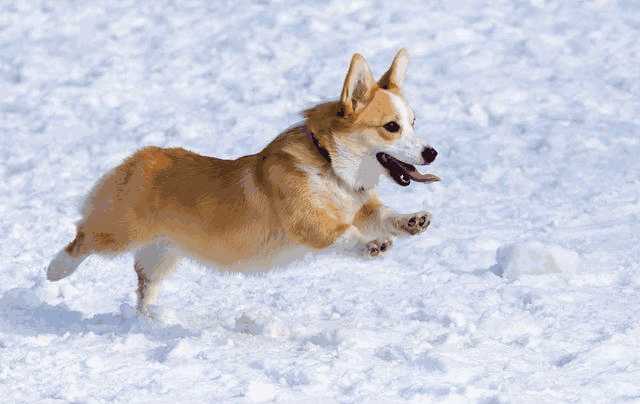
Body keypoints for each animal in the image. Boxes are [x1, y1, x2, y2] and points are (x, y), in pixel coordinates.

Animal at [46, 49, 440, 314]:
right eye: (391, 126)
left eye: (414, 122)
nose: (433, 152)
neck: (331, 167)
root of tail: (139, 157)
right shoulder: (308, 222)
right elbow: (344, 234)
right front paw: (371, 245)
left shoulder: (363, 206)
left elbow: (383, 215)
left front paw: (412, 221)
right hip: (120, 231)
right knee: (81, 239)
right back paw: (55, 271)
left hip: (162, 252)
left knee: (145, 285)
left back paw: (150, 319)